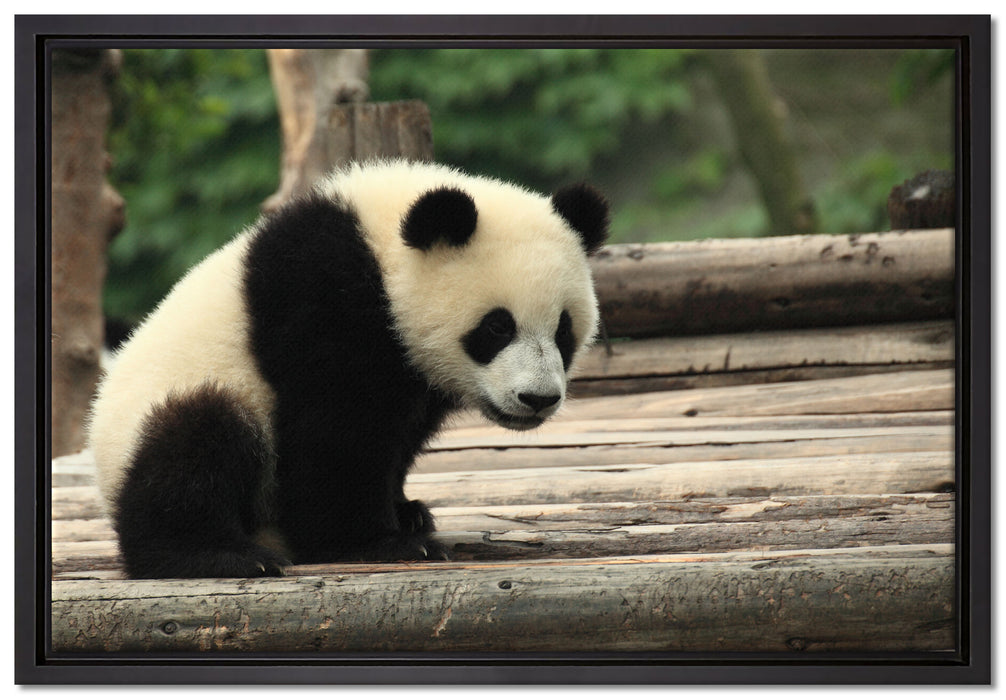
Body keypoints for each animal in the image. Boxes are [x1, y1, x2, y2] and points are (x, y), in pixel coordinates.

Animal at [87, 159, 609, 579]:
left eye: (563, 330)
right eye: (497, 327)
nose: (537, 399)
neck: (381, 249)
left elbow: (397, 434)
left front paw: (407, 512)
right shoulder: (322, 301)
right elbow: (336, 434)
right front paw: (382, 542)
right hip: (179, 406)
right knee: (196, 442)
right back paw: (218, 555)